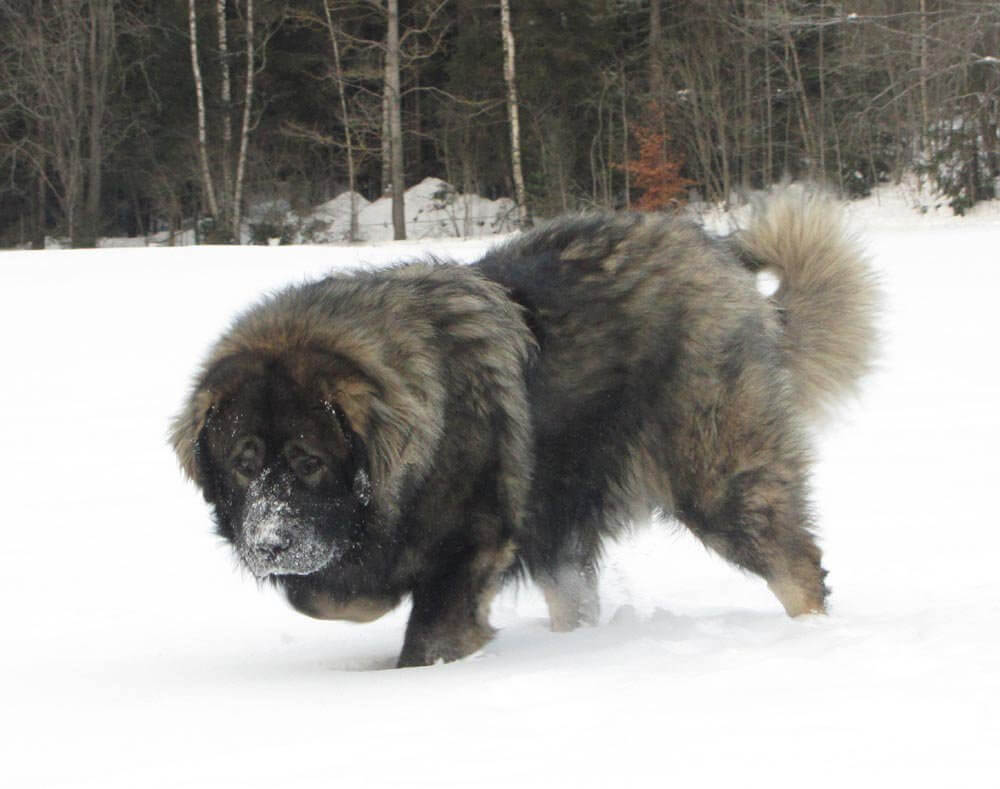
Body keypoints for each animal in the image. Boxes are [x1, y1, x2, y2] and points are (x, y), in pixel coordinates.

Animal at [172, 191, 876, 664]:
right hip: (564, 508)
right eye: (243, 461)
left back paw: (810, 637)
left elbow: (427, 632)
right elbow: (326, 593)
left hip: (718, 475)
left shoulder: (473, 540)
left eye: (309, 462)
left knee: (797, 565)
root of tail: (720, 257)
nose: (269, 543)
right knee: (576, 592)